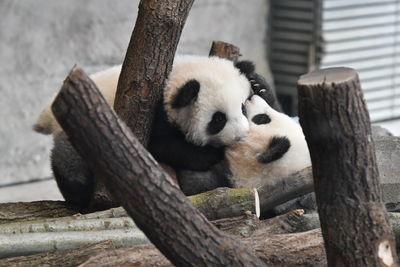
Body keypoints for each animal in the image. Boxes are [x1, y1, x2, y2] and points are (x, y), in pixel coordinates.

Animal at [33, 55, 276, 209]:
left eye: (243, 107)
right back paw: (80, 196)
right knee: (69, 162)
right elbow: (162, 146)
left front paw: (258, 84)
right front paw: (210, 154)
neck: (173, 78)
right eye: (218, 119)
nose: (240, 135)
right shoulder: (153, 115)